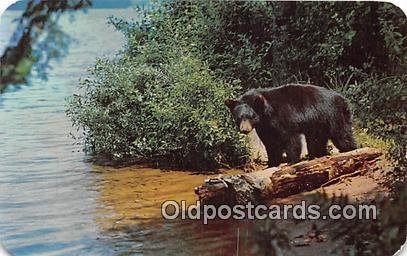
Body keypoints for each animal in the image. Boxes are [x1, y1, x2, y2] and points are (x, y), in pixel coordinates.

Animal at [226, 83, 356, 166]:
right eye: (239, 117)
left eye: (250, 116)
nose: (244, 129)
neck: (267, 112)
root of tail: (343, 99)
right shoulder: (265, 127)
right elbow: (270, 143)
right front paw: (272, 163)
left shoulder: (284, 116)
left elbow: (290, 138)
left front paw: (291, 161)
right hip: (319, 123)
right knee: (316, 140)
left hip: (332, 116)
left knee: (342, 135)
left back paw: (351, 149)